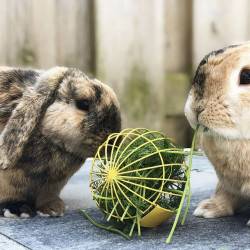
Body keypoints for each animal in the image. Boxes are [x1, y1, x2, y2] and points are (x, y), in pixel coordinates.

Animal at [0, 66, 121, 217]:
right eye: (83, 104)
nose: (114, 142)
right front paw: (18, 210)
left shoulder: (52, 187)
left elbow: (46, 198)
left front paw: (55, 209)